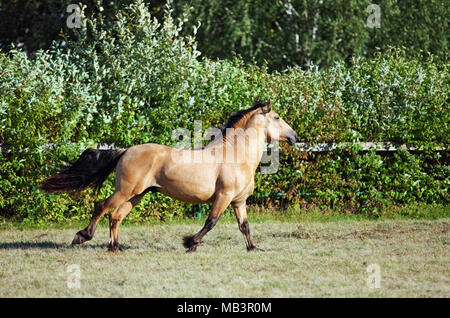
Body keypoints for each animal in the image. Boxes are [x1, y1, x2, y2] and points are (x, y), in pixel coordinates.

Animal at [41, 100, 296, 252]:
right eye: (276, 117)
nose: (293, 136)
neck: (236, 155)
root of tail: (126, 151)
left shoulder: (238, 201)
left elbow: (244, 226)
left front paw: (253, 248)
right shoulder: (223, 197)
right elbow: (211, 222)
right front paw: (190, 243)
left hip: (137, 195)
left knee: (115, 215)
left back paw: (115, 247)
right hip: (126, 190)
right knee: (101, 206)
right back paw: (83, 236)